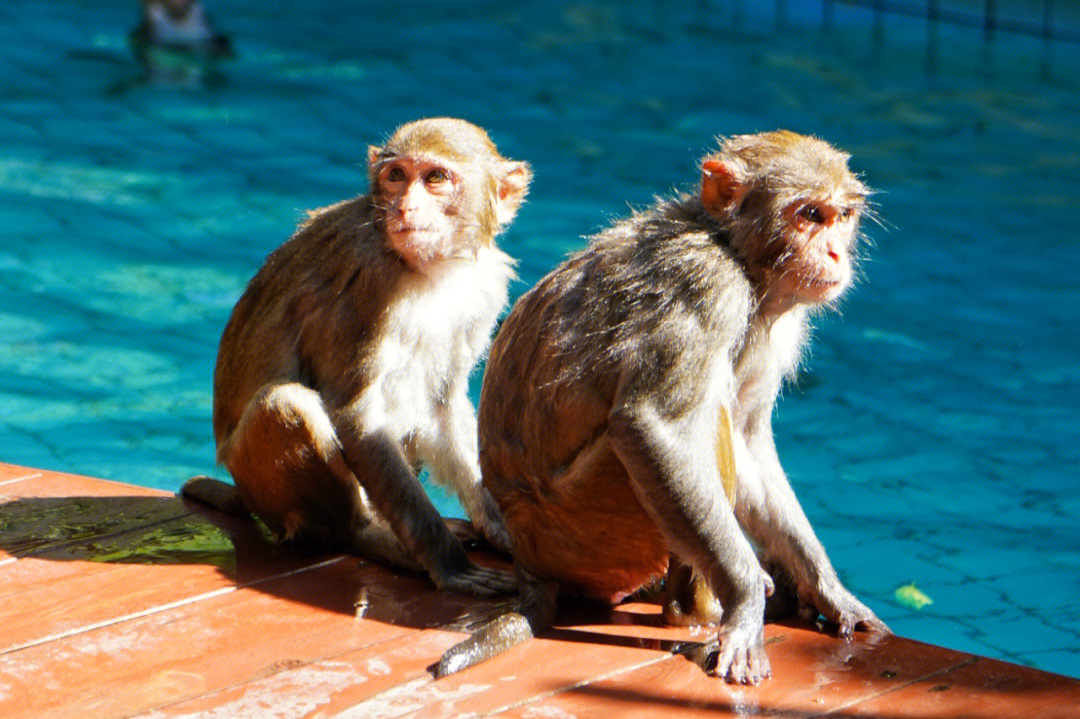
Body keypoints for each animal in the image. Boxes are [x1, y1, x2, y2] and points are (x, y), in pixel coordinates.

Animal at [183, 117, 533, 595]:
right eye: (396, 176)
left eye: (435, 179)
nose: (404, 208)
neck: (432, 269)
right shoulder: (371, 283)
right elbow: (355, 415)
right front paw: (449, 564)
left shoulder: (485, 287)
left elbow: (443, 404)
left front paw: (501, 528)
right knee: (288, 403)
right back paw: (366, 535)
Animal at [434, 129, 889, 682]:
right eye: (808, 215)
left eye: (841, 216)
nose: (835, 253)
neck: (733, 250)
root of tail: (529, 561)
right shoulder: (705, 284)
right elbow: (652, 427)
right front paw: (745, 607)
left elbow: (748, 437)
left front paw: (827, 588)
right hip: (587, 523)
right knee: (697, 420)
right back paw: (693, 612)